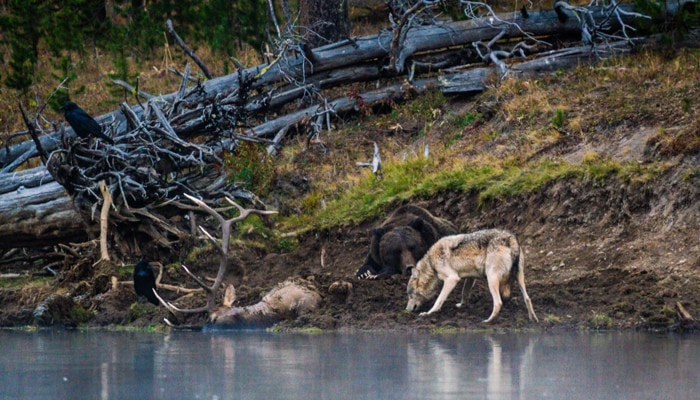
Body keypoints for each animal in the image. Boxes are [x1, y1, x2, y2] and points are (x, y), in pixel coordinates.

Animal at [404, 228, 536, 322]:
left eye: (410, 296)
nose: (407, 310)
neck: (431, 263)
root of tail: (509, 237)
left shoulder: (452, 279)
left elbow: (439, 300)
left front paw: (428, 313)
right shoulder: (470, 277)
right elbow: (464, 293)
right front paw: (461, 306)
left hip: (491, 279)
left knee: (498, 303)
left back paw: (488, 321)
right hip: (520, 278)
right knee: (527, 298)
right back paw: (533, 319)